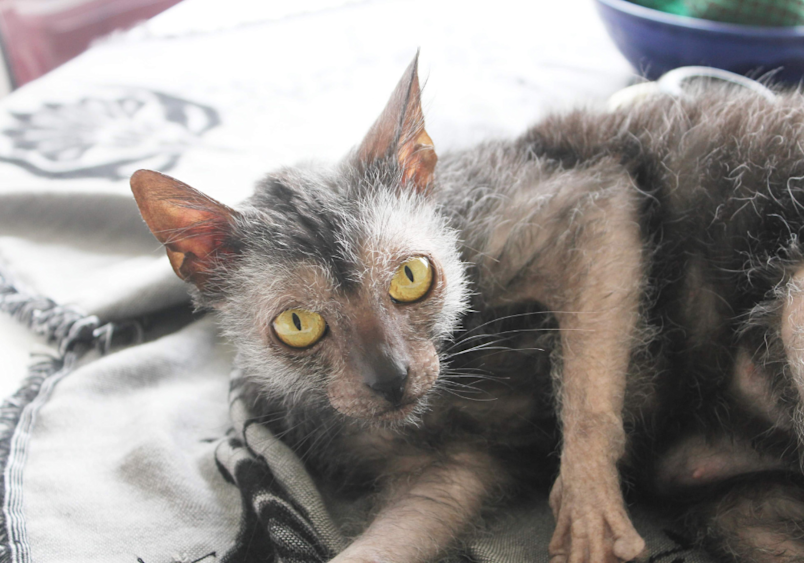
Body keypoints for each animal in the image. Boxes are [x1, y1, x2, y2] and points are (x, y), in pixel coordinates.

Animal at [132, 53, 804, 563]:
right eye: (299, 326)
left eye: (411, 277)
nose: (392, 378)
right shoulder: (448, 476)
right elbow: (394, 536)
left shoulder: (591, 203)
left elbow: (587, 398)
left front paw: (588, 510)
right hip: (735, 511)